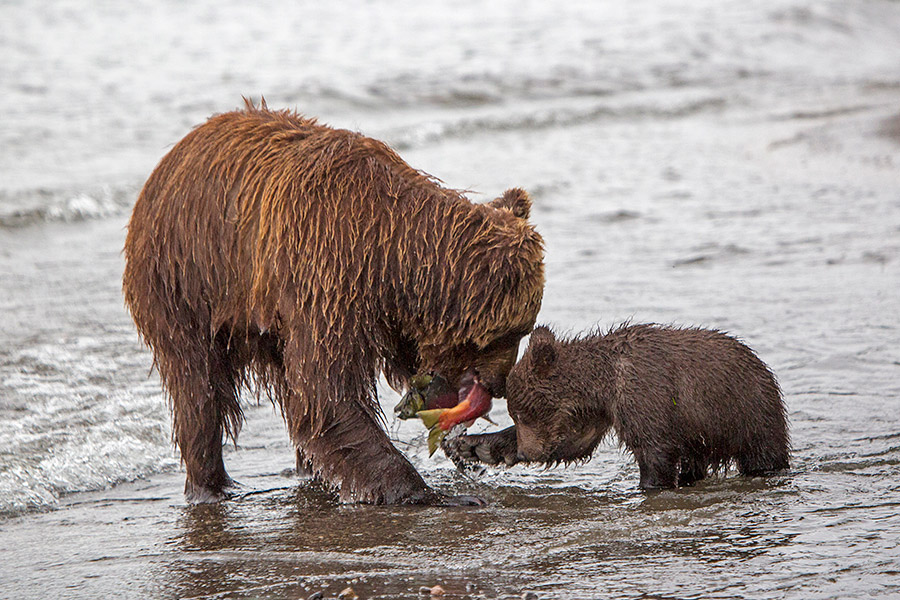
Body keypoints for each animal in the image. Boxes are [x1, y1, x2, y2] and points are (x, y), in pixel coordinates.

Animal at [121, 101, 540, 504]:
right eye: (511, 333)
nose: (499, 384)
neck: (391, 250)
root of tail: (162, 168)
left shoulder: (380, 301)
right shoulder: (326, 273)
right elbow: (326, 395)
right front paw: (430, 492)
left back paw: (306, 472)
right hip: (185, 281)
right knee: (199, 390)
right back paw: (211, 485)